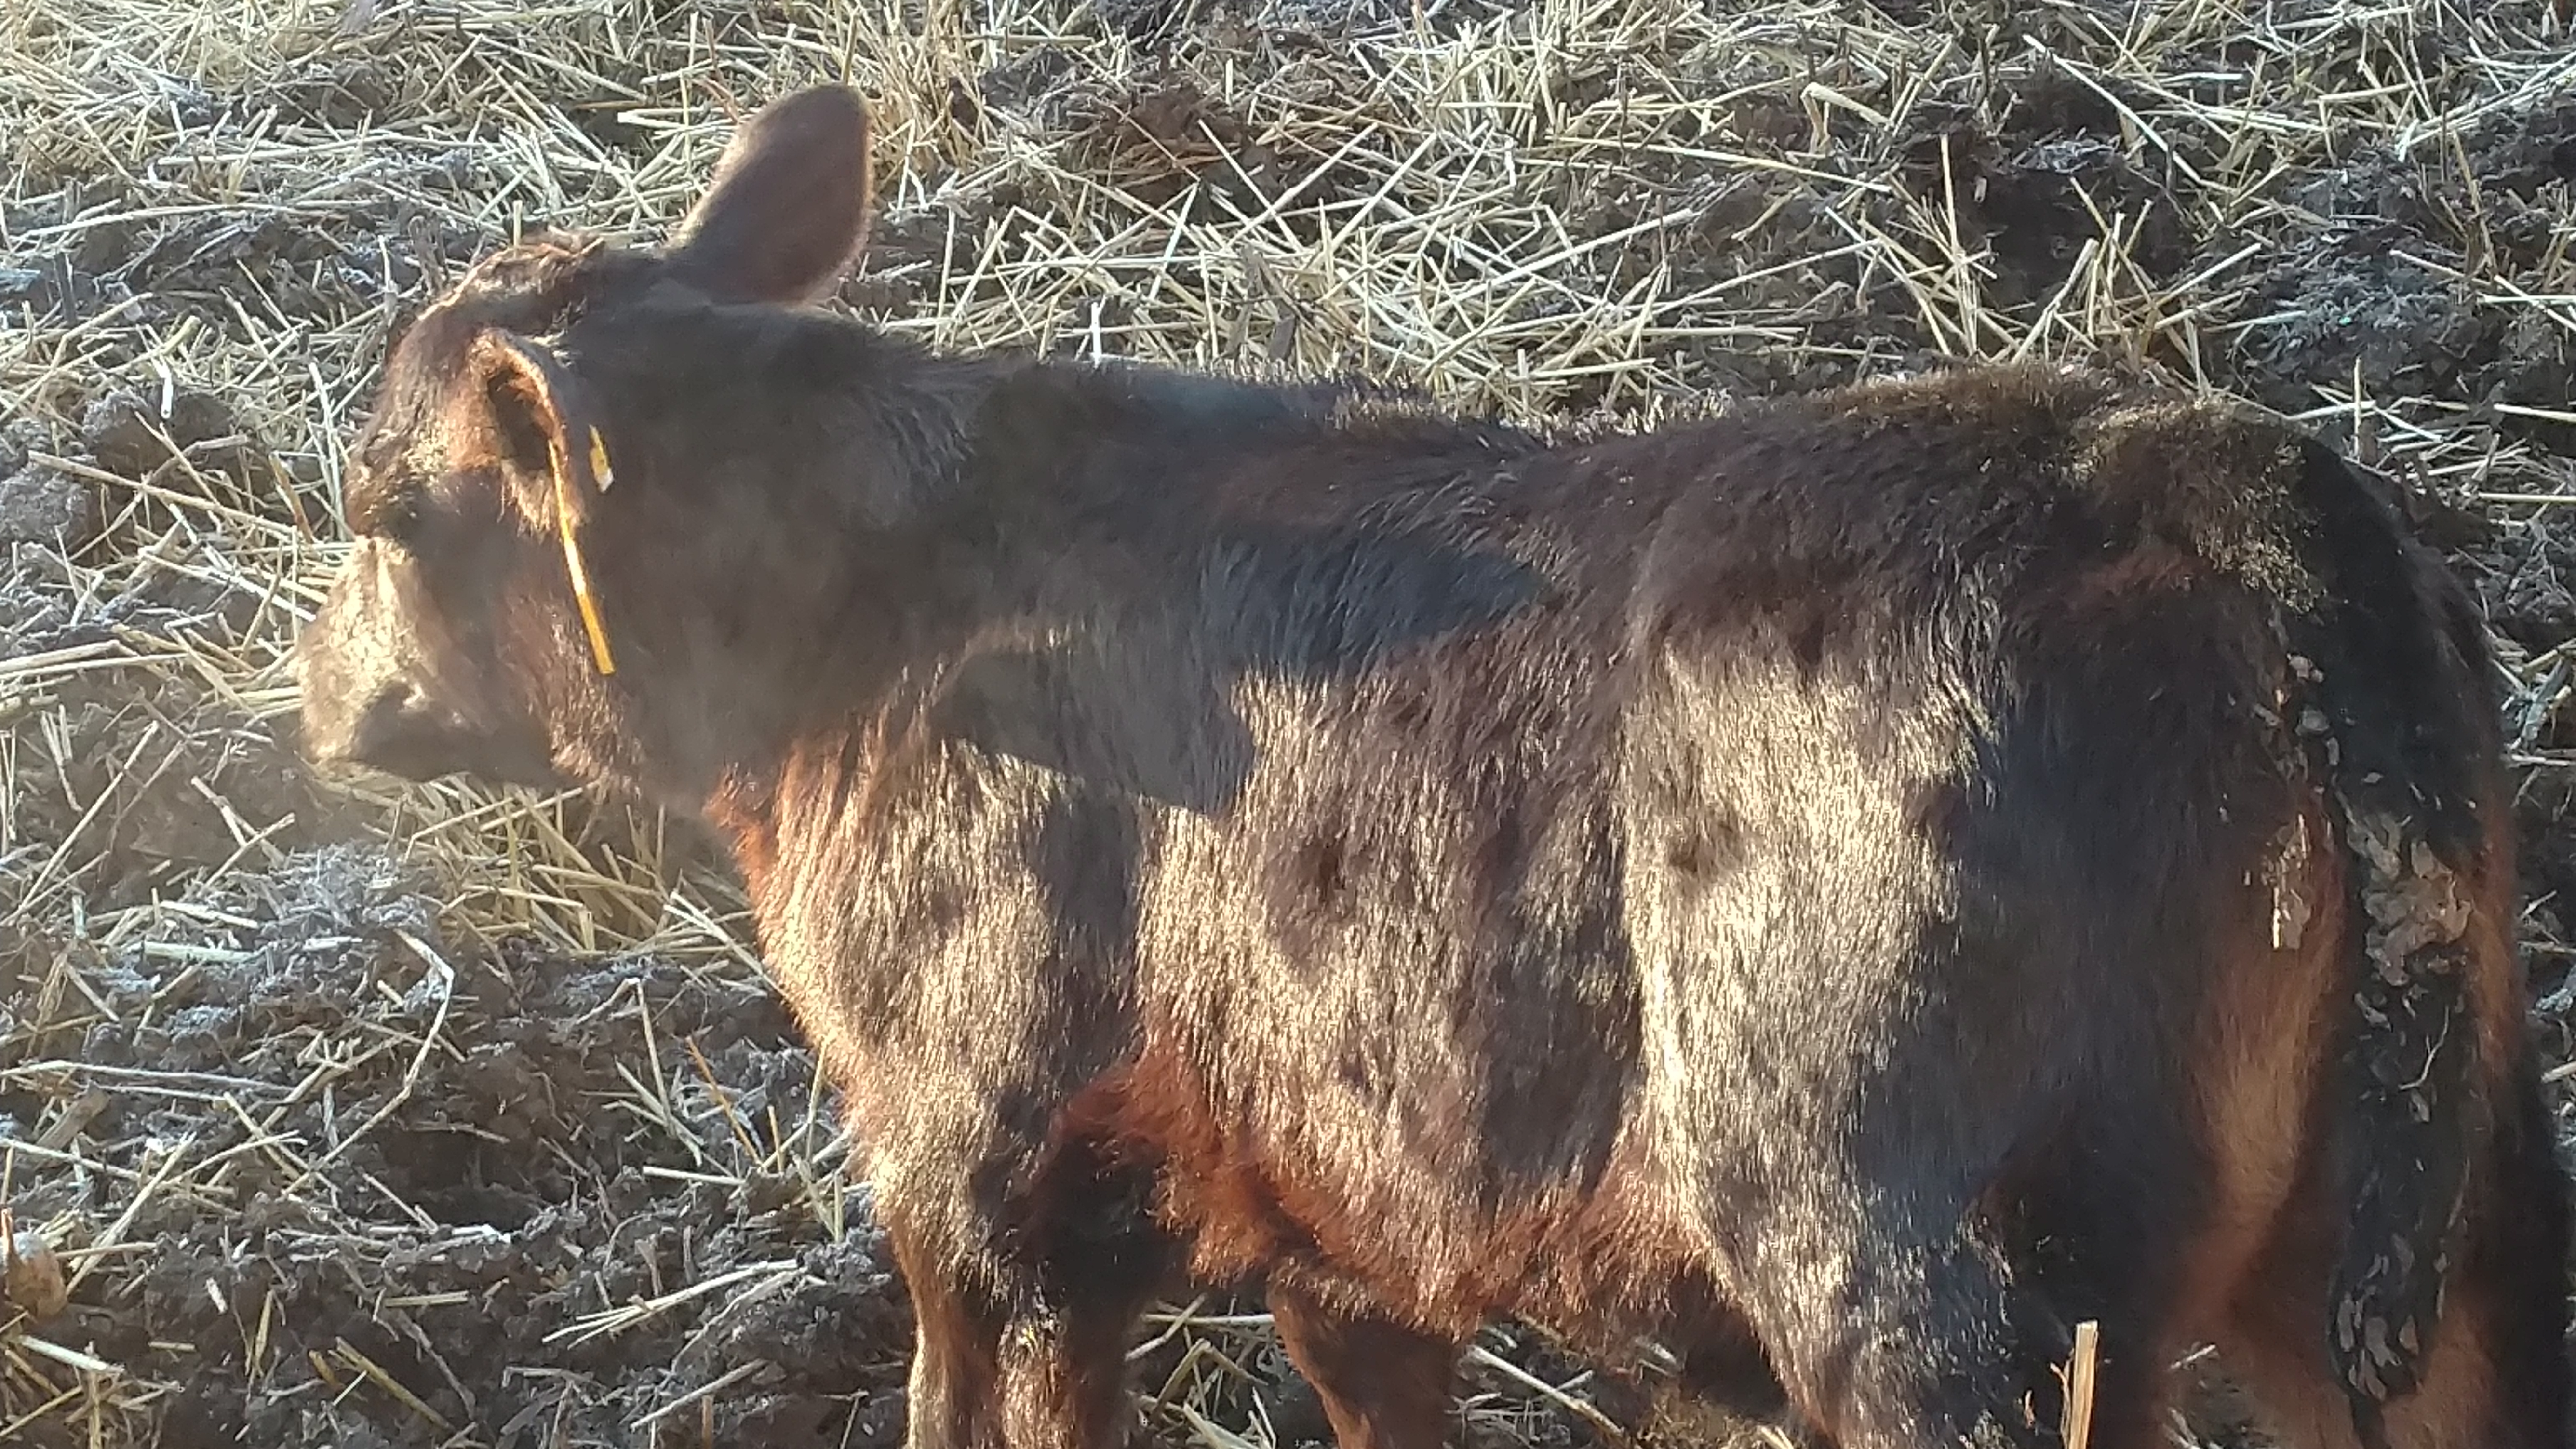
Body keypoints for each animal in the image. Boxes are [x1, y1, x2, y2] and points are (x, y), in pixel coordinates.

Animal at [292, 90, 2565, 1444]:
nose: (312, 704)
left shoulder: (986, 1185)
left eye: (382, 510)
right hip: (2440, 1236)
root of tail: (2193, 466)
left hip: (1945, 1282)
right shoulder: (1338, 1219)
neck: (878, 610)